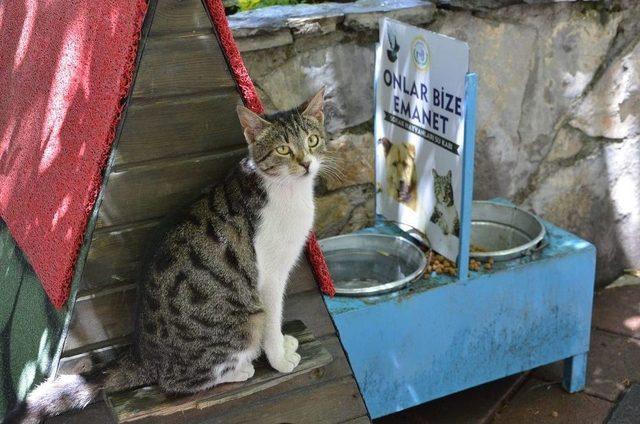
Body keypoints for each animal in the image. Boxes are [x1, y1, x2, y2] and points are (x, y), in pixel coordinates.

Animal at [8, 88, 330, 422]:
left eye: (312, 141)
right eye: (283, 149)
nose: (306, 164)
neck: (289, 192)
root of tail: (145, 356)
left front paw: (283, 345)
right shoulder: (270, 276)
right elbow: (273, 318)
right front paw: (279, 358)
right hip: (244, 324)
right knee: (178, 381)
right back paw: (240, 370)